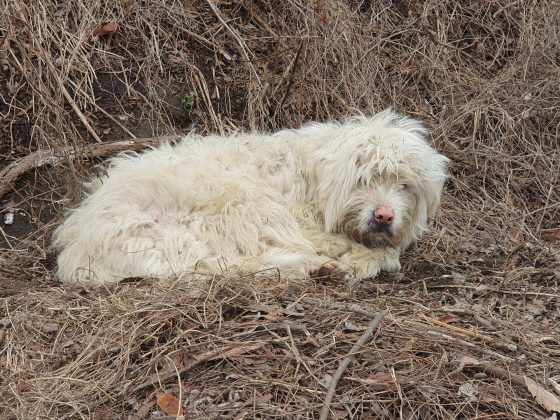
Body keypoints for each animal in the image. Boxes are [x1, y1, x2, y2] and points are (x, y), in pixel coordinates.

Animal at [53, 109, 450, 286]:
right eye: (362, 179)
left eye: (405, 186)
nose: (384, 216)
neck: (311, 180)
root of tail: (80, 245)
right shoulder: (300, 223)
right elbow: (380, 253)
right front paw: (358, 258)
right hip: (237, 198)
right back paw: (321, 266)